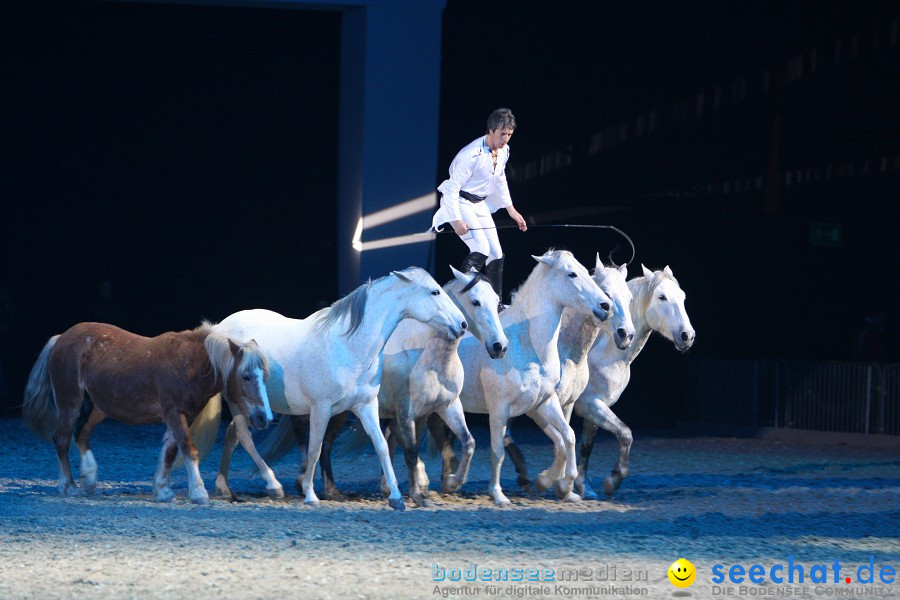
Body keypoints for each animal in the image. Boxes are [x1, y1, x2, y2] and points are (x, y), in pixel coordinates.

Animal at [22, 322, 270, 504]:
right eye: (246, 376)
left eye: (264, 375)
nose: (264, 418)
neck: (188, 364)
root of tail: (61, 338)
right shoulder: (174, 413)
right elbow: (188, 450)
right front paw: (198, 492)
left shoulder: (184, 416)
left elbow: (171, 450)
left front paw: (162, 489)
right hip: (69, 403)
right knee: (62, 439)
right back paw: (68, 486)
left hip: (100, 407)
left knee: (81, 433)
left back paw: (89, 478)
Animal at [202, 268, 464, 510]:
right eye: (435, 291)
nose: (461, 324)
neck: (348, 346)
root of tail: (218, 328)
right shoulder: (321, 409)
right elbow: (315, 448)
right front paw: (310, 494)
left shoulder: (366, 406)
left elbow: (381, 445)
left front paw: (397, 497)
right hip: (238, 400)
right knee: (244, 437)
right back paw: (273, 485)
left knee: (232, 436)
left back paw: (225, 488)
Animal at [454, 250, 608, 506]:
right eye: (572, 273)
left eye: (586, 271)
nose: (605, 305)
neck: (524, 343)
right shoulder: (499, 410)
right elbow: (497, 451)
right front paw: (498, 494)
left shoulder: (545, 402)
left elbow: (568, 436)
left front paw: (561, 485)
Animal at [576, 264, 696, 500]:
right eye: (662, 297)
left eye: (682, 296)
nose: (687, 336)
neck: (600, 352)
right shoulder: (588, 404)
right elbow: (625, 434)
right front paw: (613, 480)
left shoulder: (594, 406)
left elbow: (587, 446)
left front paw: (585, 487)